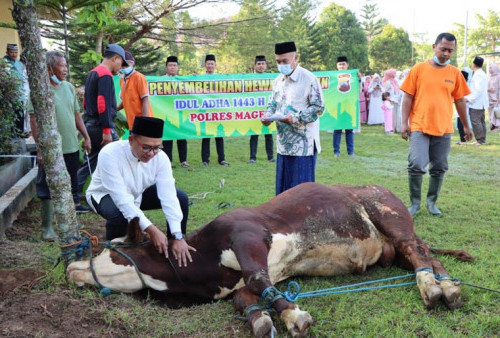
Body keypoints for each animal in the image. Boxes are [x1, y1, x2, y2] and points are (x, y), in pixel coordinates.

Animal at [66, 184, 472, 336]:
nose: (70, 267)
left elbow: (258, 281)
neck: (203, 266)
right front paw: (262, 318)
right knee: (426, 255)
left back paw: (433, 289)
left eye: (110, 249)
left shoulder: (246, 238)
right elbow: (247, 297)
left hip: (390, 216)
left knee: (417, 251)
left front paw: (293, 314)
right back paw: (447, 286)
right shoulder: (245, 280)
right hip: (393, 250)